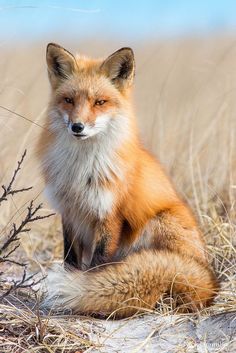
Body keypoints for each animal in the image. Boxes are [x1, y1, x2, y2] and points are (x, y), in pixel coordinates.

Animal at [38, 42, 218, 318]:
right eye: (69, 100)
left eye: (100, 102)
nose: (77, 127)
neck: (82, 170)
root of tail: (209, 281)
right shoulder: (69, 212)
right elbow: (70, 259)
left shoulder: (109, 214)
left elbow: (98, 265)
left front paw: (88, 292)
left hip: (158, 222)